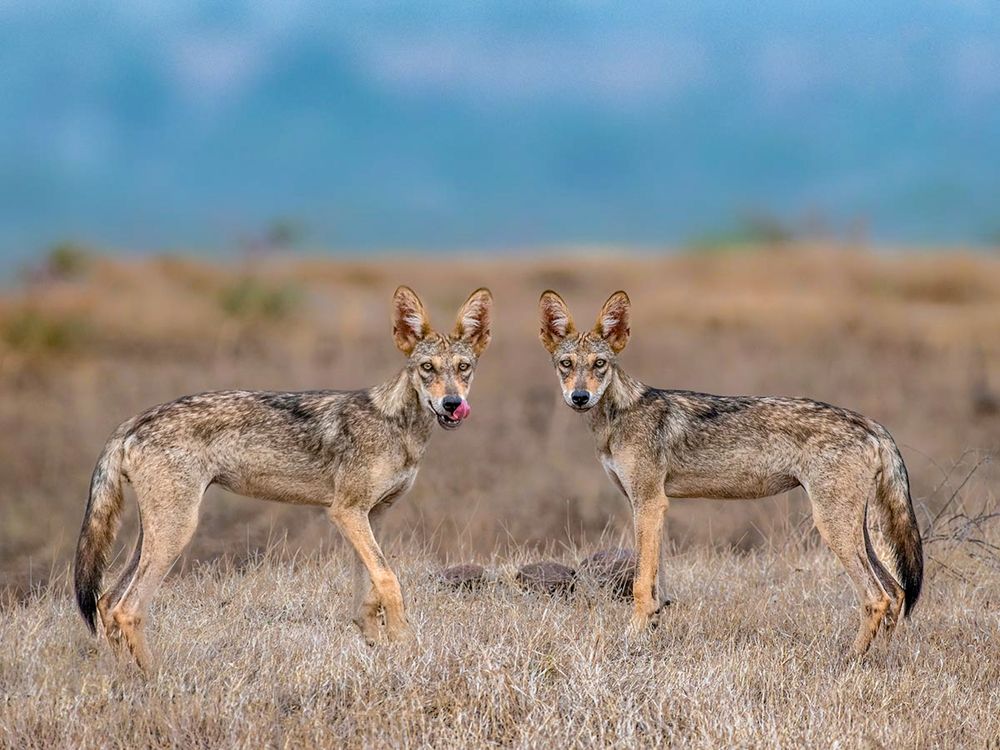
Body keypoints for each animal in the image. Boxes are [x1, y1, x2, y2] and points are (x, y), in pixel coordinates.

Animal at [75, 286, 492, 670]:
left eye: (463, 368)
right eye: (427, 368)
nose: (452, 404)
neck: (399, 428)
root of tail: (133, 421)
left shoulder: (372, 515)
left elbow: (370, 588)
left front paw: (376, 642)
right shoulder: (346, 512)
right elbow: (389, 580)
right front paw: (405, 641)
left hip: (155, 533)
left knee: (107, 602)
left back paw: (122, 676)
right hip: (178, 530)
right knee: (127, 608)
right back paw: (154, 679)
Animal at [538, 289, 922, 654]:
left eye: (600, 364)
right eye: (566, 364)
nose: (580, 397)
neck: (615, 418)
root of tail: (871, 424)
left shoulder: (648, 502)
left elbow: (640, 584)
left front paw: (632, 636)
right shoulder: (652, 506)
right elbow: (656, 582)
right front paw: (652, 630)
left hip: (832, 526)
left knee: (877, 596)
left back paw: (851, 658)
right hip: (856, 530)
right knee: (896, 591)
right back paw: (881, 658)